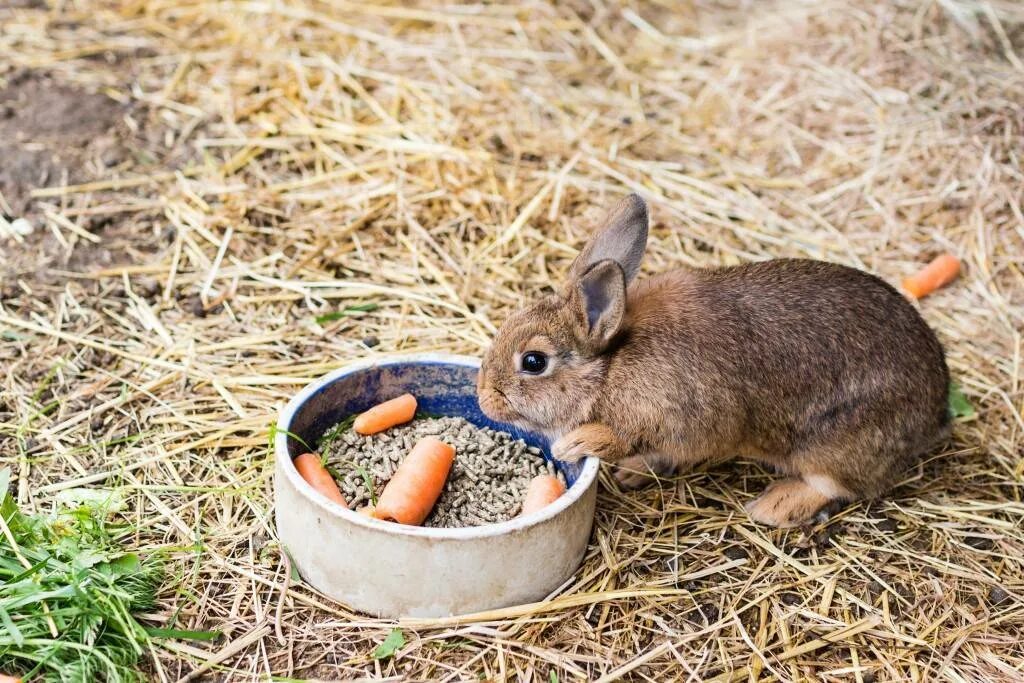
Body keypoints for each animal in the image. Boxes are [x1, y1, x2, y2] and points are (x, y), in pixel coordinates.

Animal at [479, 192, 950, 528]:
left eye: (534, 362)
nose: (484, 398)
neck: (611, 365)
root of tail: (937, 408)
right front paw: (633, 471)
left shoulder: (683, 417)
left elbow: (627, 436)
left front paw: (578, 443)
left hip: (834, 445)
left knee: (838, 485)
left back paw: (774, 506)